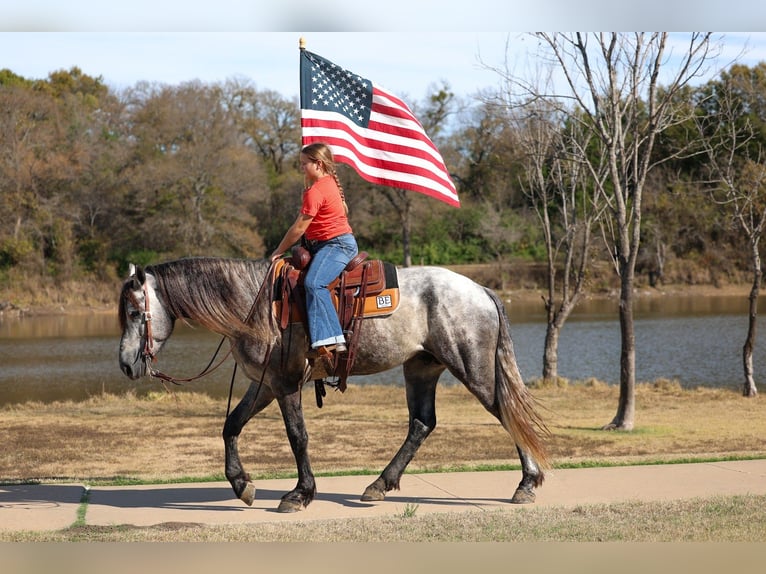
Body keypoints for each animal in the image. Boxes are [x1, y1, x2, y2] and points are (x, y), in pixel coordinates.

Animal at [117, 256, 551, 513]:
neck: (253, 305)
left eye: (137, 312)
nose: (124, 364)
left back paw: (526, 484)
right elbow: (231, 426)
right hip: (421, 368)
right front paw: (242, 485)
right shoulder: (265, 384)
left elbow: (297, 436)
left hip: (472, 368)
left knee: (506, 412)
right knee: (422, 423)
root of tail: (480, 289)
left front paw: (300, 493)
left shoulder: (285, 383)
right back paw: (379, 484)